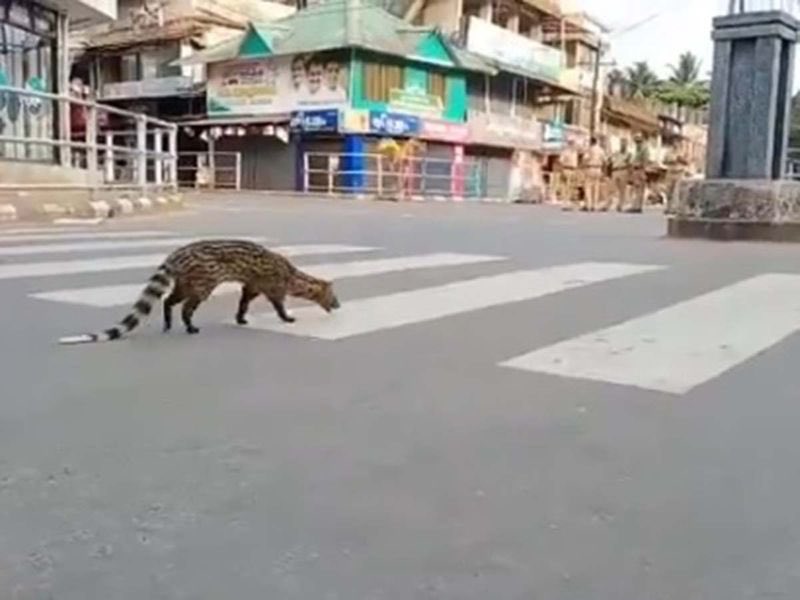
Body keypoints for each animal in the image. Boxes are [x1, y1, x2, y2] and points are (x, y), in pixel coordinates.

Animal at [59, 239, 340, 345]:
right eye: (333, 297)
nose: (338, 305)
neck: (295, 277)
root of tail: (175, 255)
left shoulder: (251, 286)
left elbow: (243, 302)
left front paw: (241, 317)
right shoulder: (272, 287)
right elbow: (278, 304)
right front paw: (286, 317)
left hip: (186, 282)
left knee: (169, 300)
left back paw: (168, 320)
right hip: (204, 283)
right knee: (185, 307)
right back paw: (188, 325)